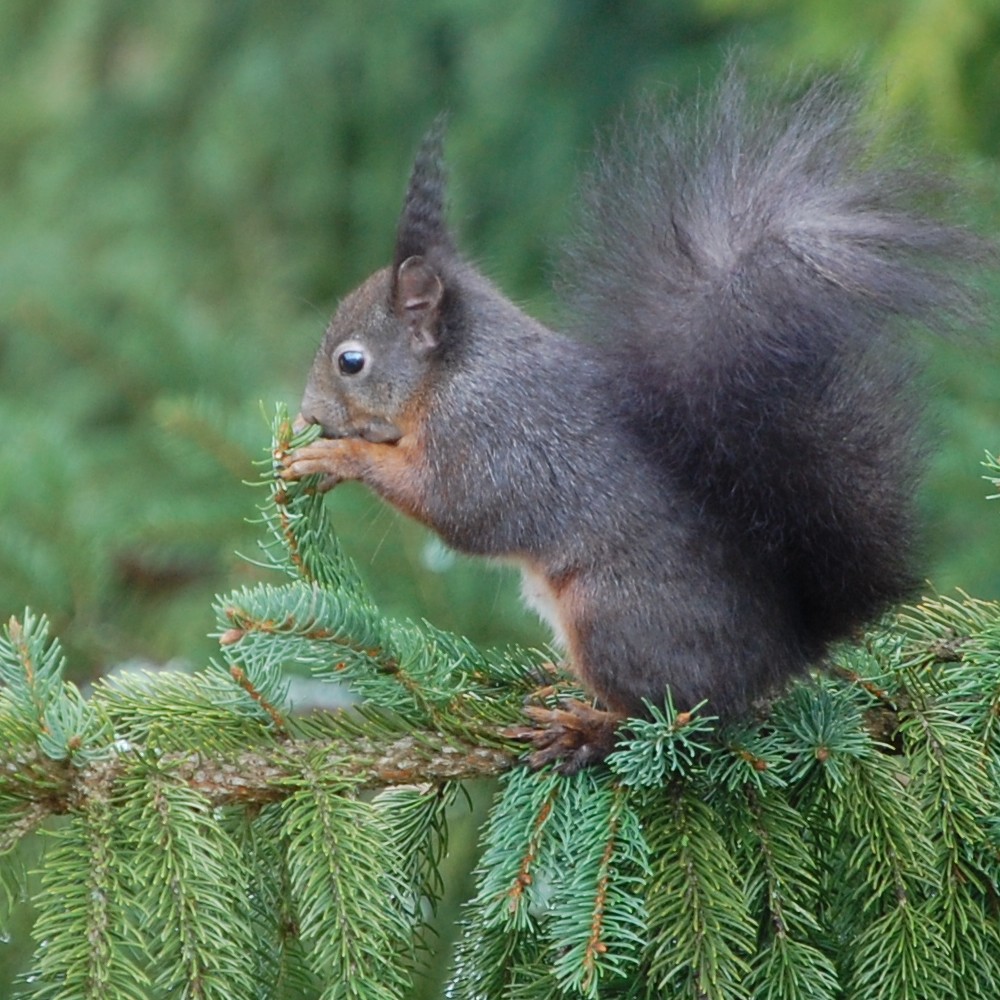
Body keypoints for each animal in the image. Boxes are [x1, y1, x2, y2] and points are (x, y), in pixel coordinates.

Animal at [282, 70, 984, 768]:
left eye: (351, 361)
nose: (308, 413)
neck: (455, 371)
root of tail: (779, 655)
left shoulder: (491, 437)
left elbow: (455, 507)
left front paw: (336, 457)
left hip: (612, 617)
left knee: (675, 712)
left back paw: (583, 729)